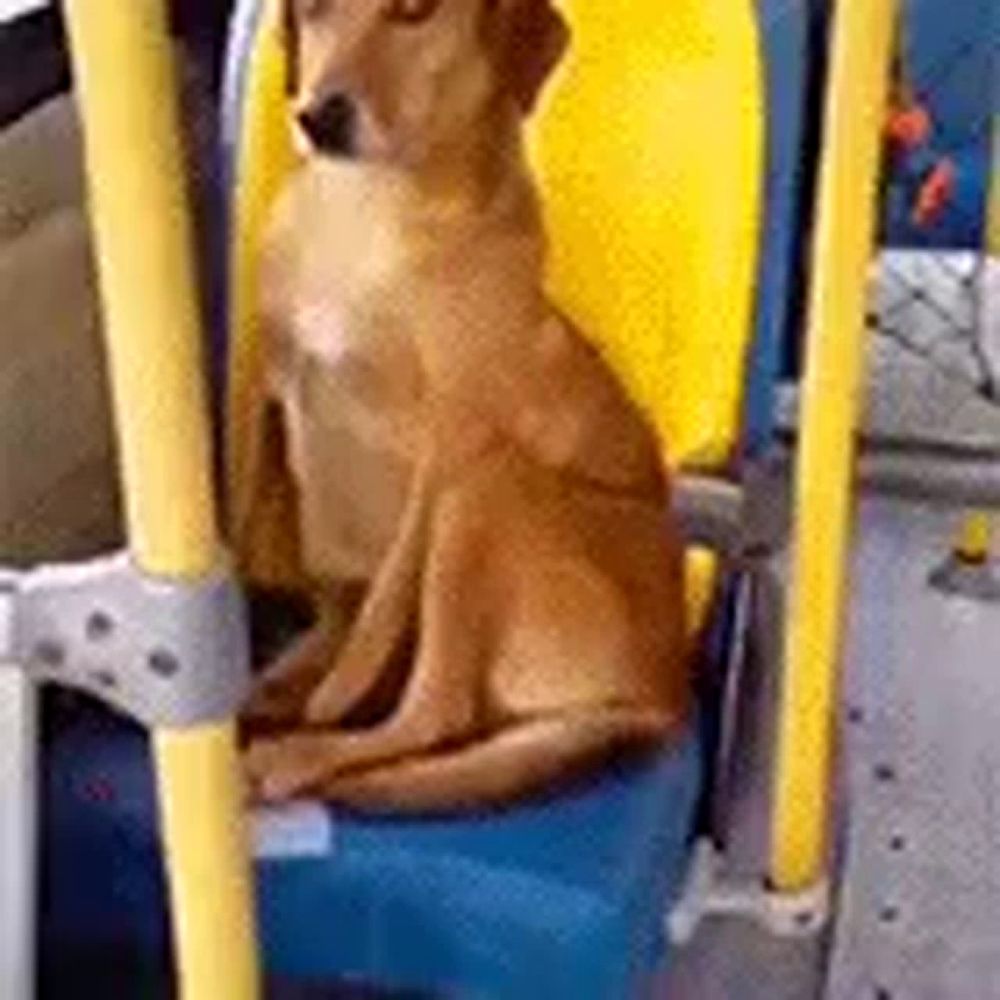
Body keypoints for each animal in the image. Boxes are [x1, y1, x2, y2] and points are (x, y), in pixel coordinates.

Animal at [239, 0, 692, 812]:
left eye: (414, 11)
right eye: (311, 9)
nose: (317, 115)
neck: (362, 222)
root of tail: (660, 697)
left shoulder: (448, 444)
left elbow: (383, 607)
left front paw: (333, 696)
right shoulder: (272, 385)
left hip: (488, 491)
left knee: (436, 713)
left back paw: (303, 750)